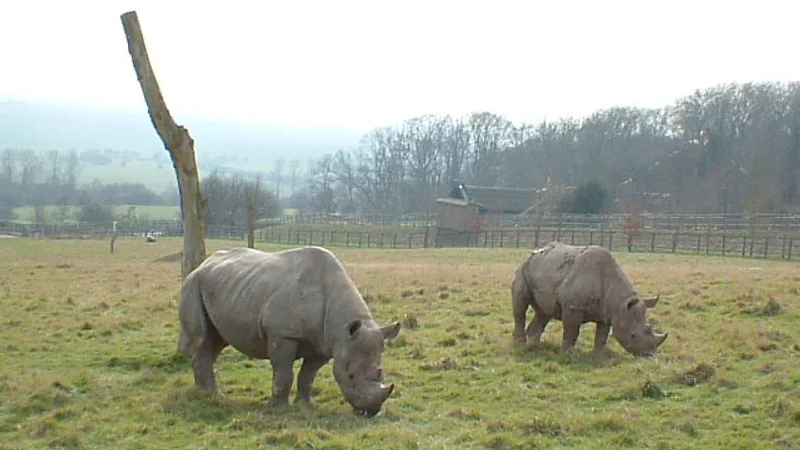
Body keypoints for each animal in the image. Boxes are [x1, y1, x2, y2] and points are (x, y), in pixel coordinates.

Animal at [178, 246, 401, 417]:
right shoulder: (283, 334)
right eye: (351, 375)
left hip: (228, 288)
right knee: (203, 338)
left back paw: (206, 393)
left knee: (216, 341)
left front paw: (305, 404)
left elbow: (307, 375)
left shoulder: (325, 343)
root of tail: (204, 264)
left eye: (380, 372)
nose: (370, 411)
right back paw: (212, 396)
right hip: (192, 283)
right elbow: (284, 373)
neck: (341, 329)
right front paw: (277, 408)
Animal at [511, 241, 668, 357]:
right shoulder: (573, 306)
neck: (619, 303)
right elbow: (572, 332)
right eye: (633, 335)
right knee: (521, 306)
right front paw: (567, 354)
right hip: (524, 269)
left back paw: (534, 345)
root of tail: (531, 254)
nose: (649, 355)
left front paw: (597, 356)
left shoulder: (607, 311)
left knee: (544, 312)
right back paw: (520, 344)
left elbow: (602, 337)